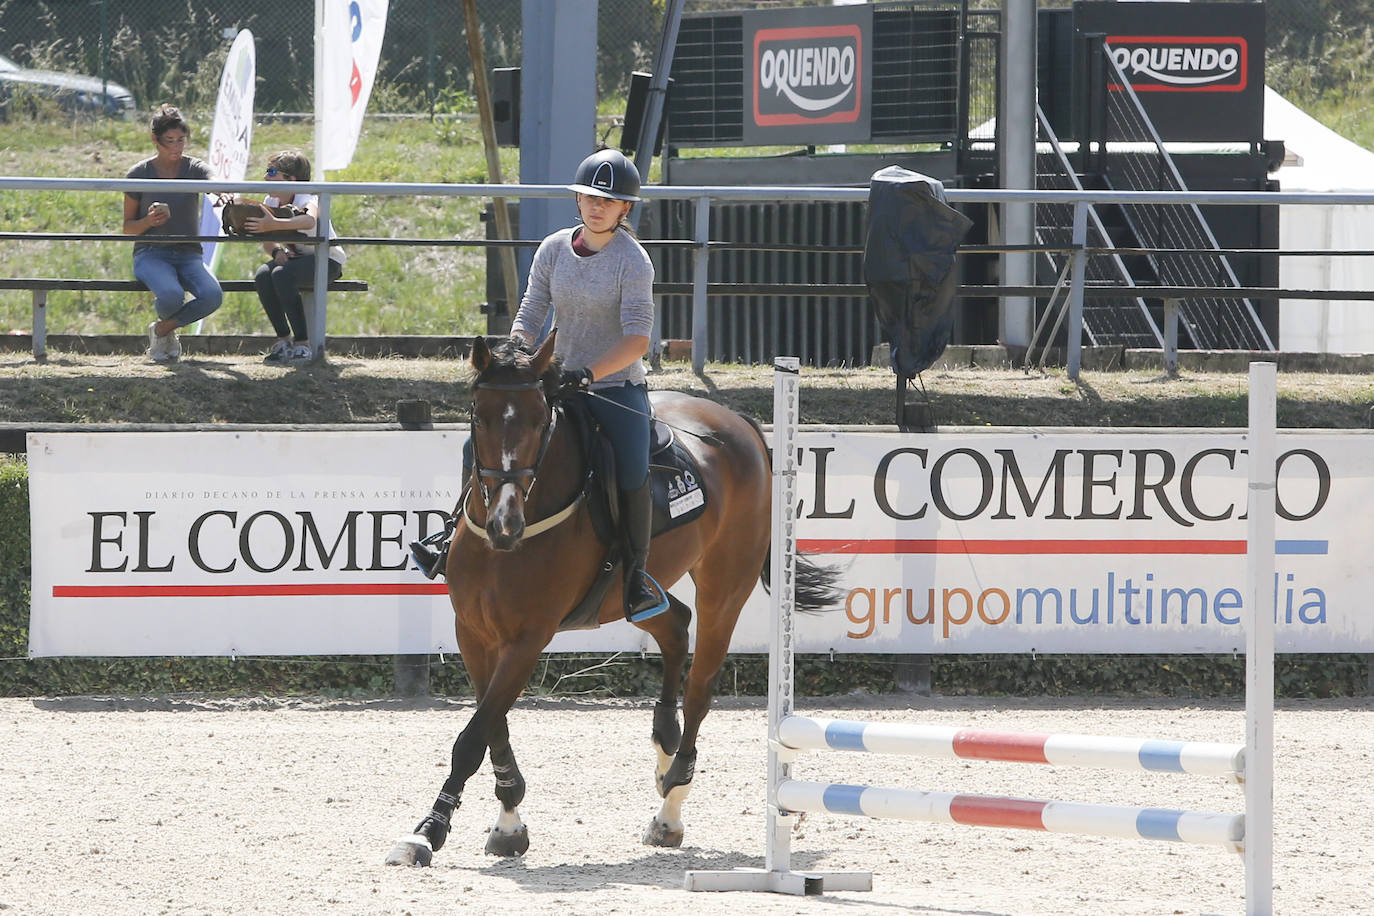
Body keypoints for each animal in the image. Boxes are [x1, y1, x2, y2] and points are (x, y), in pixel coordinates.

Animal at [381, 330, 840, 867]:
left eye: (539, 419)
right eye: (479, 417)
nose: (504, 525)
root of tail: (737, 423)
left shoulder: (527, 640)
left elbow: (473, 737)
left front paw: (427, 831)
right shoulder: (473, 633)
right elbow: (493, 727)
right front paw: (508, 821)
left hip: (725, 587)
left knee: (701, 684)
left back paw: (671, 805)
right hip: (628, 597)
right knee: (674, 623)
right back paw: (665, 739)